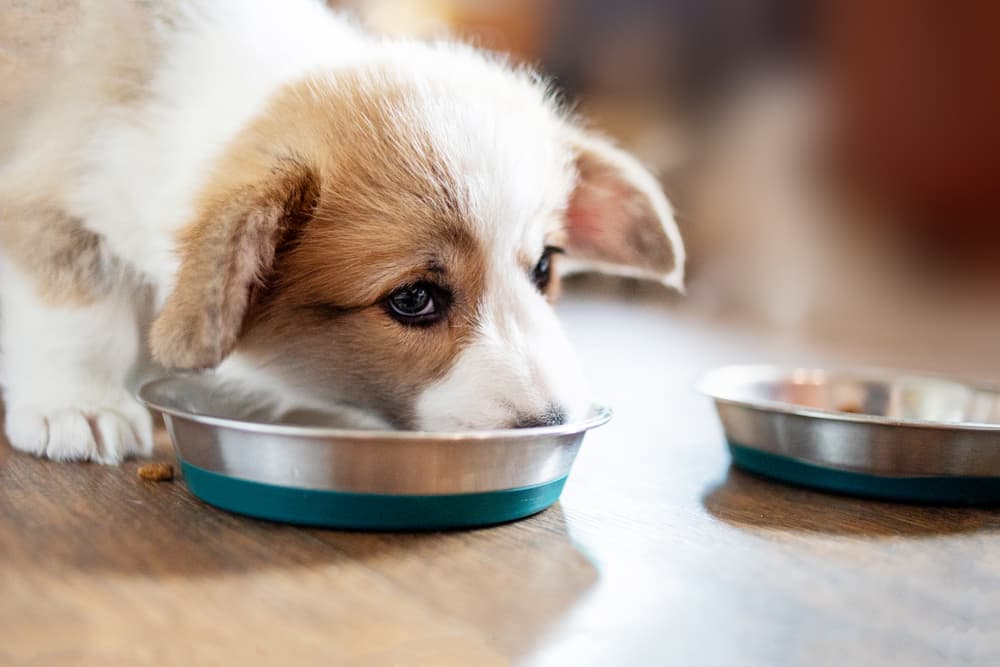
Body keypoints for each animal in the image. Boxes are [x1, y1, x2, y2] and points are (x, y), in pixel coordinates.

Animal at [0, 0, 680, 464]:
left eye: (544, 268)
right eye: (413, 298)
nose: (552, 421)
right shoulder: (52, 196)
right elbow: (78, 315)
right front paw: (79, 406)